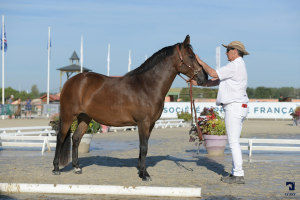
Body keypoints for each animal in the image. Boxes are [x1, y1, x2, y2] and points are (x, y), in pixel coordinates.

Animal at [52, 34, 207, 181]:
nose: (204, 77)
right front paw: (145, 175)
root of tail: (71, 81)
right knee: (60, 137)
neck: (147, 86)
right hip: (68, 116)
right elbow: (144, 147)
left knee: (76, 138)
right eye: (191, 56)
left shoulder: (150, 124)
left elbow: (143, 147)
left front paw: (140, 170)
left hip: (85, 118)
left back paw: (77, 167)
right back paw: (56, 169)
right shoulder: (143, 122)